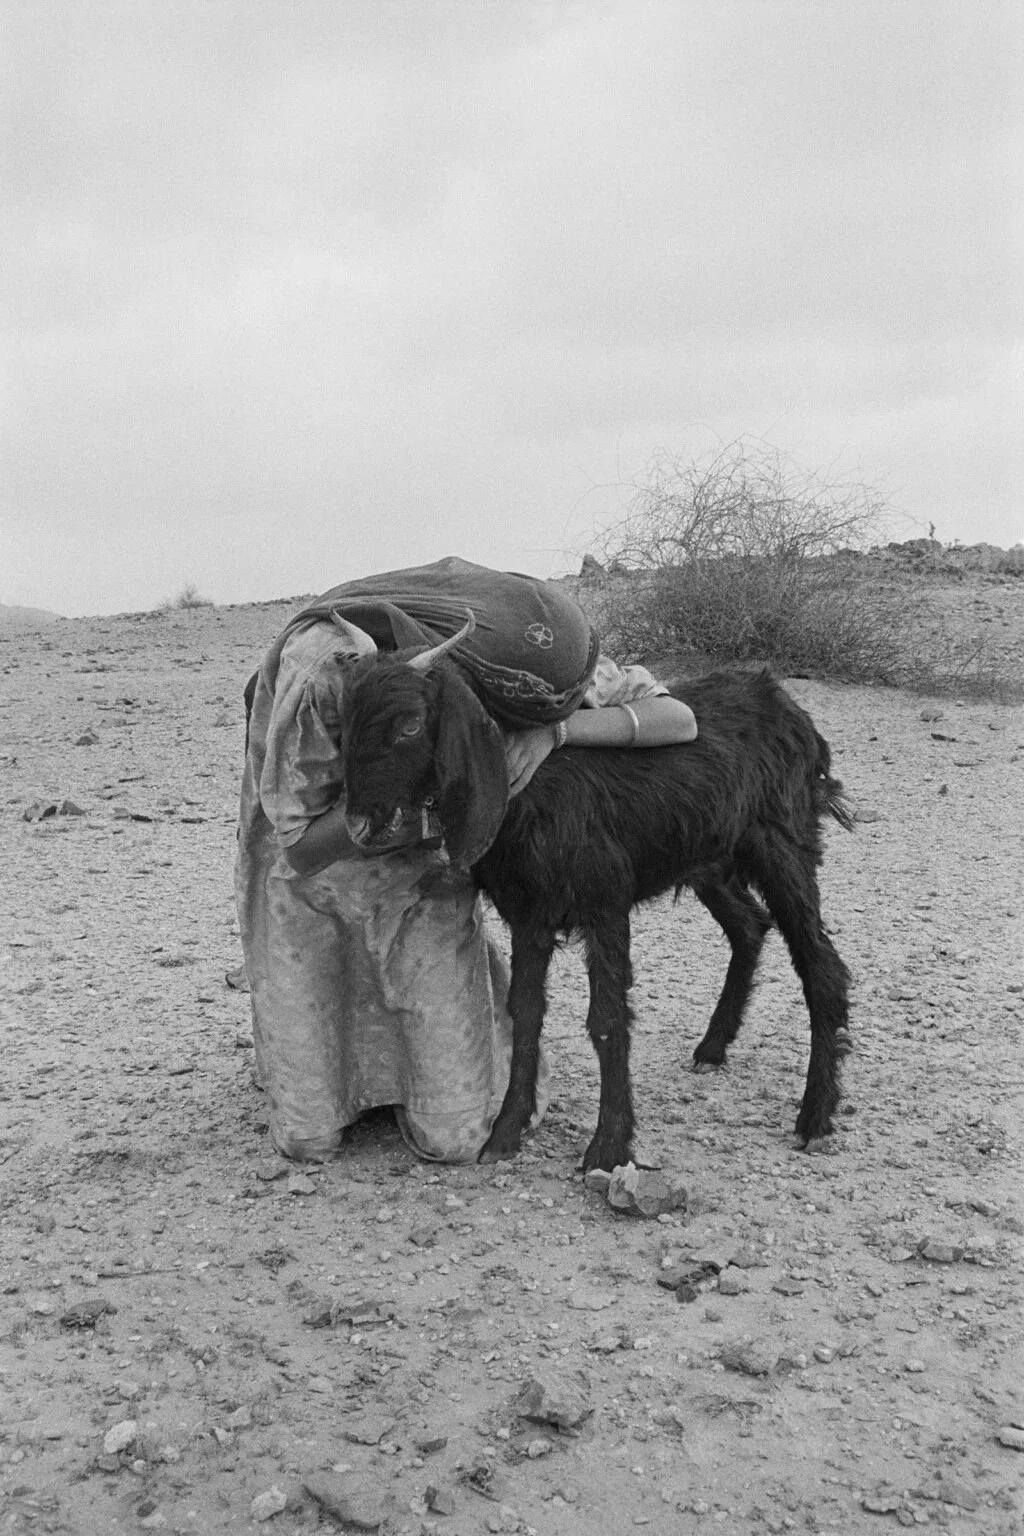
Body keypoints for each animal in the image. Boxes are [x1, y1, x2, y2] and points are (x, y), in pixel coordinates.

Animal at [334, 642, 847, 1167]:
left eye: (410, 725)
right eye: (343, 723)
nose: (358, 824)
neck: (530, 789)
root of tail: (783, 701)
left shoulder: (604, 902)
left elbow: (606, 1018)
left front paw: (608, 1145)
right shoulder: (529, 913)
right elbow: (524, 1011)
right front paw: (505, 1132)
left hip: (781, 844)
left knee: (821, 964)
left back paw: (815, 1116)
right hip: (709, 859)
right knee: (749, 926)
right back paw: (712, 1047)